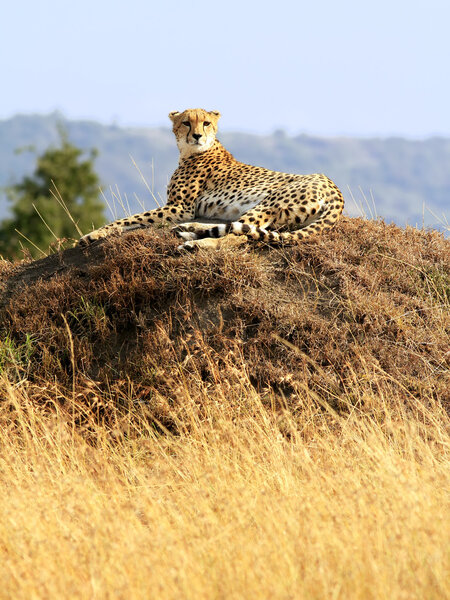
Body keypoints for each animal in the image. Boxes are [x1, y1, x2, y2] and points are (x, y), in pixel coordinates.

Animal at [78, 108, 344, 248]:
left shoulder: (180, 207)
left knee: (236, 235)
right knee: (240, 230)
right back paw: (189, 234)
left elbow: (129, 218)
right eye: (186, 123)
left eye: (206, 123)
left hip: (269, 203)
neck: (192, 152)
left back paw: (193, 240)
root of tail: (334, 187)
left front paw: (91, 235)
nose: (197, 135)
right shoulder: (177, 207)